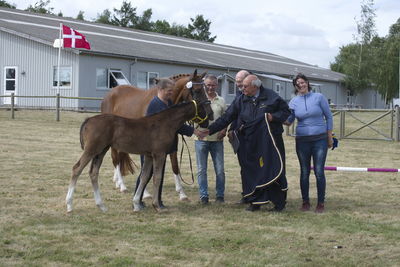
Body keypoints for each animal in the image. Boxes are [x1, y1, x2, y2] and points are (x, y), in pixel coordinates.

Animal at [65, 98, 212, 214]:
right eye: (204, 109)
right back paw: (69, 205)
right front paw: (157, 206)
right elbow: (157, 178)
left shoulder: (149, 156)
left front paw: (136, 204)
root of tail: (88, 120)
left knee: (93, 173)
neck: (164, 123)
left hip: (101, 151)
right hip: (91, 150)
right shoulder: (159, 154)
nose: (207, 123)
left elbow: (144, 177)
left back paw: (101, 206)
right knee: (76, 169)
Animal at [100, 69, 208, 201]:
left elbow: (175, 165)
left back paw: (117, 181)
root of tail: (109, 95)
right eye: (197, 90)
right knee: (115, 158)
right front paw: (145, 193)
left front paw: (182, 193)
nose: (209, 115)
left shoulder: (172, 141)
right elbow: (145, 168)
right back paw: (122, 185)